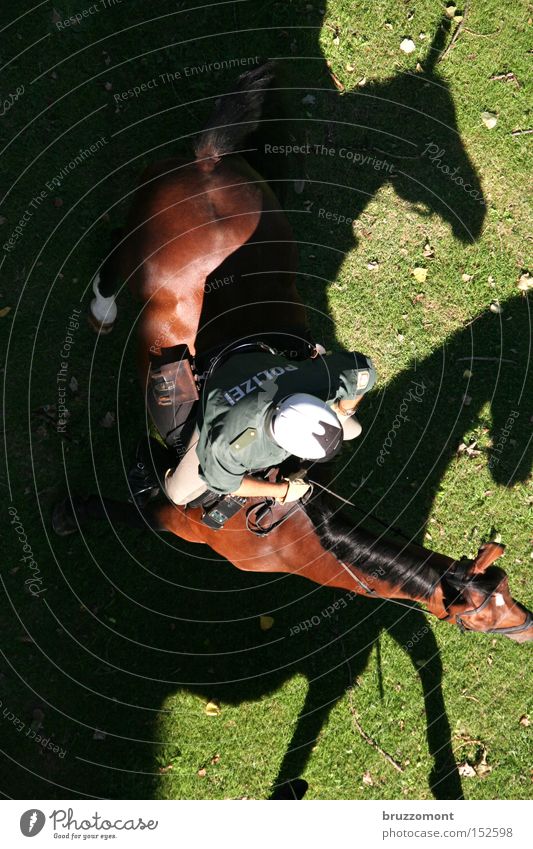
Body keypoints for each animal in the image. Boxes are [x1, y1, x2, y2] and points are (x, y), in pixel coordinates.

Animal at [55, 61, 532, 648]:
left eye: (509, 590)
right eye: (485, 618)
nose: (529, 627)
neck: (293, 534)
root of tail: (209, 164)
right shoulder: (174, 510)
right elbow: (129, 509)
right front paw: (71, 511)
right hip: (138, 244)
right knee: (112, 253)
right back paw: (101, 309)